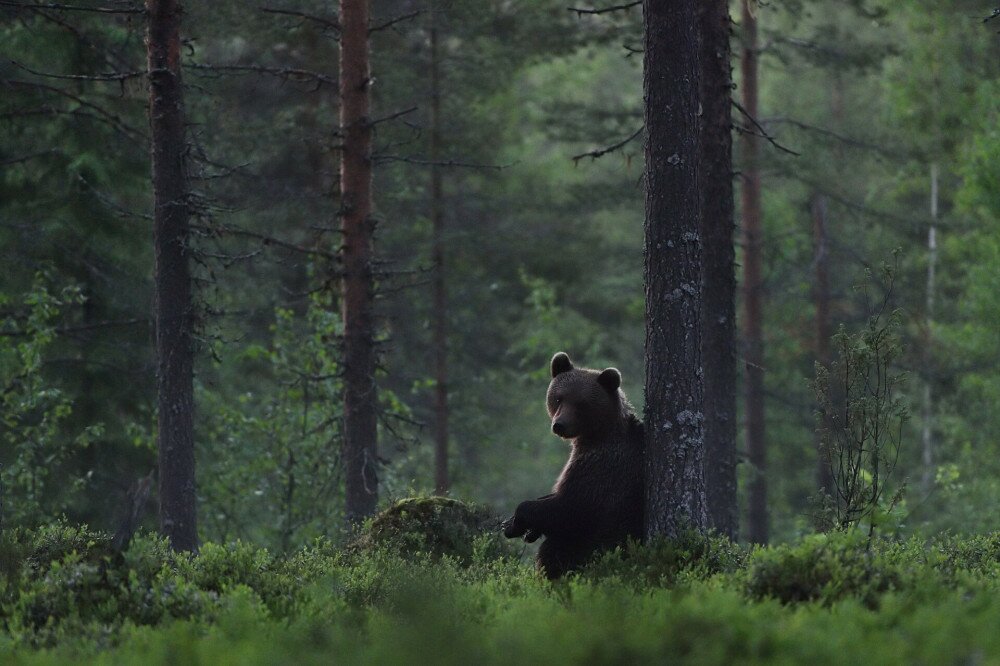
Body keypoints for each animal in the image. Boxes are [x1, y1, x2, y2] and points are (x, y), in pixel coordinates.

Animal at [504, 352, 644, 576]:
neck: (595, 435)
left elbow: (572, 506)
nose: (559, 425)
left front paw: (518, 520)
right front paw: (516, 525)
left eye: (581, 403)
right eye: (558, 398)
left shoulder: (603, 468)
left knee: (554, 550)